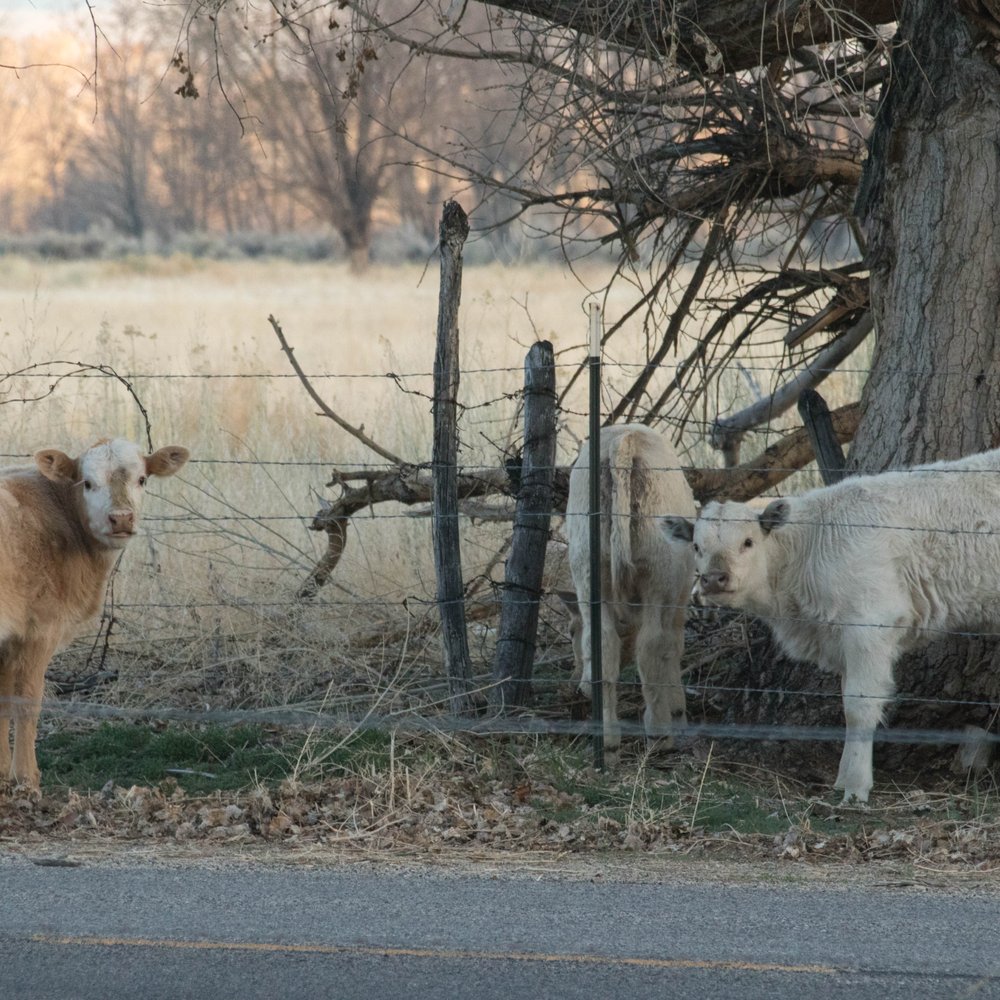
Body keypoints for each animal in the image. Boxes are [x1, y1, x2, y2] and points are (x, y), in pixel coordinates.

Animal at [0, 438, 189, 791]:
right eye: (87, 483)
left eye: (142, 479)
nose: (122, 518)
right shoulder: (40, 628)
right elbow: (28, 700)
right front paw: (28, 779)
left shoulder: (11, 637)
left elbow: (4, 701)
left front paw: (4, 772)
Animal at [564, 424, 696, 757]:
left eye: (571, 633)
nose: (580, 688)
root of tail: (624, 441)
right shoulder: (679, 598)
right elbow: (673, 648)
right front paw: (678, 711)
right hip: (660, 571)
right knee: (651, 646)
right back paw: (660, 735)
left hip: (588, 565)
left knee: (603, 643)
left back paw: (608, 739)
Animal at [664, 446, 1000, 804]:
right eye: (696, 546)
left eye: (748, 542)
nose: (714, 578)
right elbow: (845, 703)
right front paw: (842, 777)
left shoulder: (869, 626)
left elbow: (859, 707)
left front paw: (856, 787)